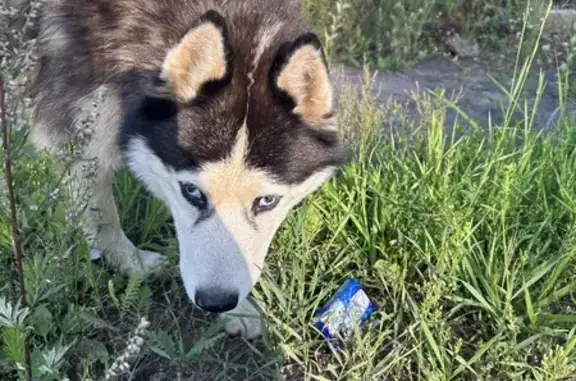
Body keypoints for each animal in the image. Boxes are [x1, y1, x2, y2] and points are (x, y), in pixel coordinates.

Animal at [29, 0, 344, 338]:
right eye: (191, 191)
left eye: (267, 201)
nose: (216, 302)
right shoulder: (78, 141)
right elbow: (104, 223)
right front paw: (135, 266)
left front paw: (238, 312)